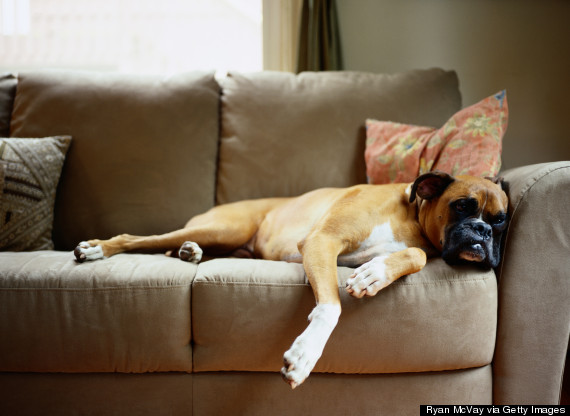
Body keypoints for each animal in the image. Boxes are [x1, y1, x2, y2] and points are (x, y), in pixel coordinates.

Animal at [74, 171, 506, 388]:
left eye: (501, 220)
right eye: (461, 206)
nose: (483, 231)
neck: (411, 215)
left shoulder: (399, 247)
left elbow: (414, 255)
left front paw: (375, 273)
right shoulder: (321, 241)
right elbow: (330, 306)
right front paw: (304, 355)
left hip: (229, 240)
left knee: (181, 248)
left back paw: (189, 253)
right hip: (225, 228)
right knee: (138, 240)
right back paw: (97, 249)